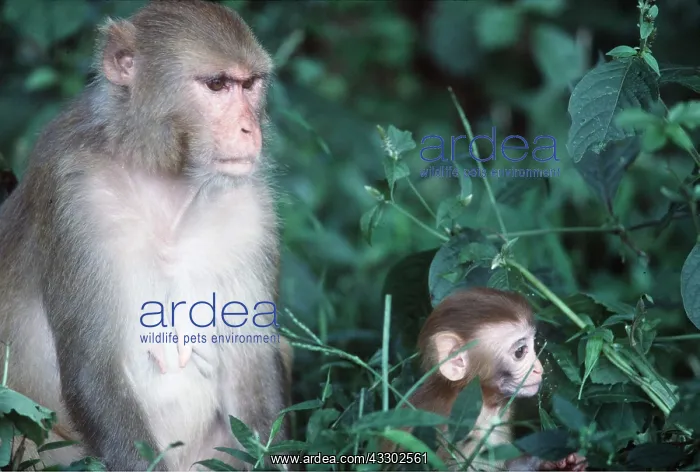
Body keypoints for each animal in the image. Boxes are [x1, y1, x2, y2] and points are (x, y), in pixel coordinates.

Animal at [0, 1, 291, 470]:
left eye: (250, 85)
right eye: (217, 84)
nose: (251, 130)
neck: (165, 177)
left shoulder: (252, 208)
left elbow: (252, 364)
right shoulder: (74, 193)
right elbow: (95, 370)